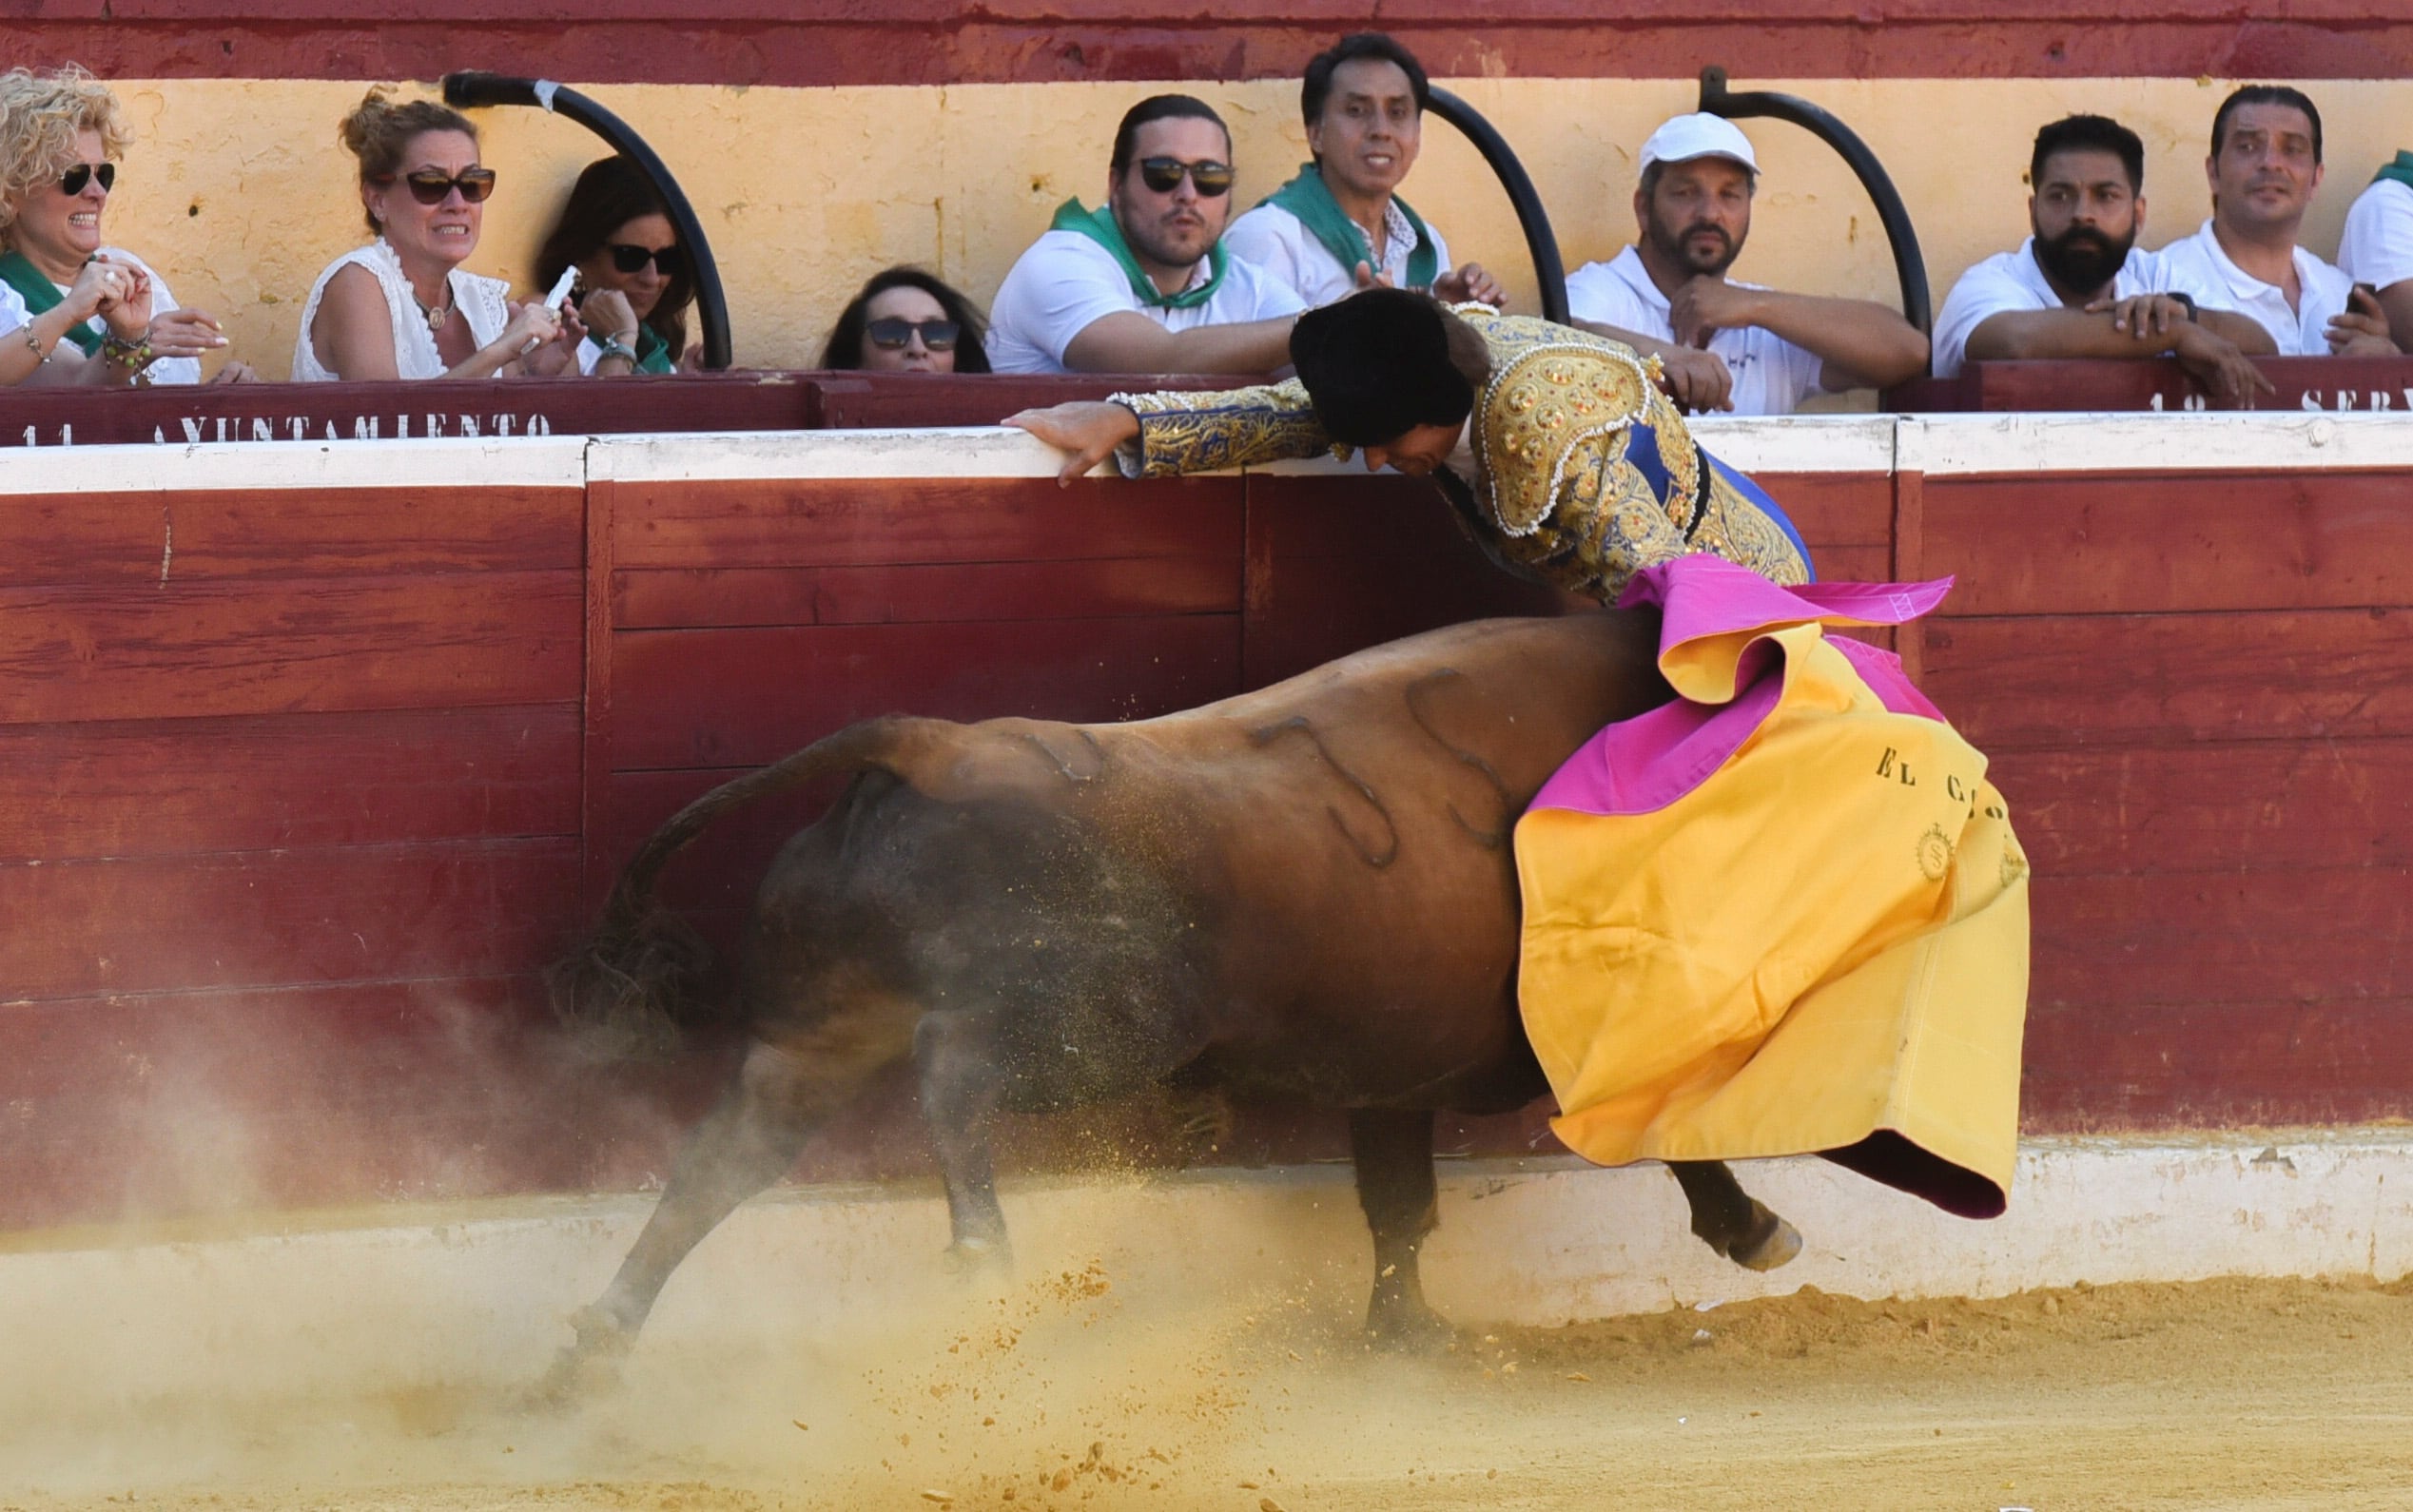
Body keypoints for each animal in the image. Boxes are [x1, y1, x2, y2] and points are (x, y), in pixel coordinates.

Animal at [547, 605, 1795, 1388]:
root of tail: (931, 747)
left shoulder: (1390, 1072)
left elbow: (1399, 1205)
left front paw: (1404, 1335)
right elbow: (1684, 1134)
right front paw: (1754, 1230)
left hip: (816, 1035)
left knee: (720, 1164)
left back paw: (593, 1349)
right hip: (1094, 1026)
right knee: (951, 1078)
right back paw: (980, 1253)